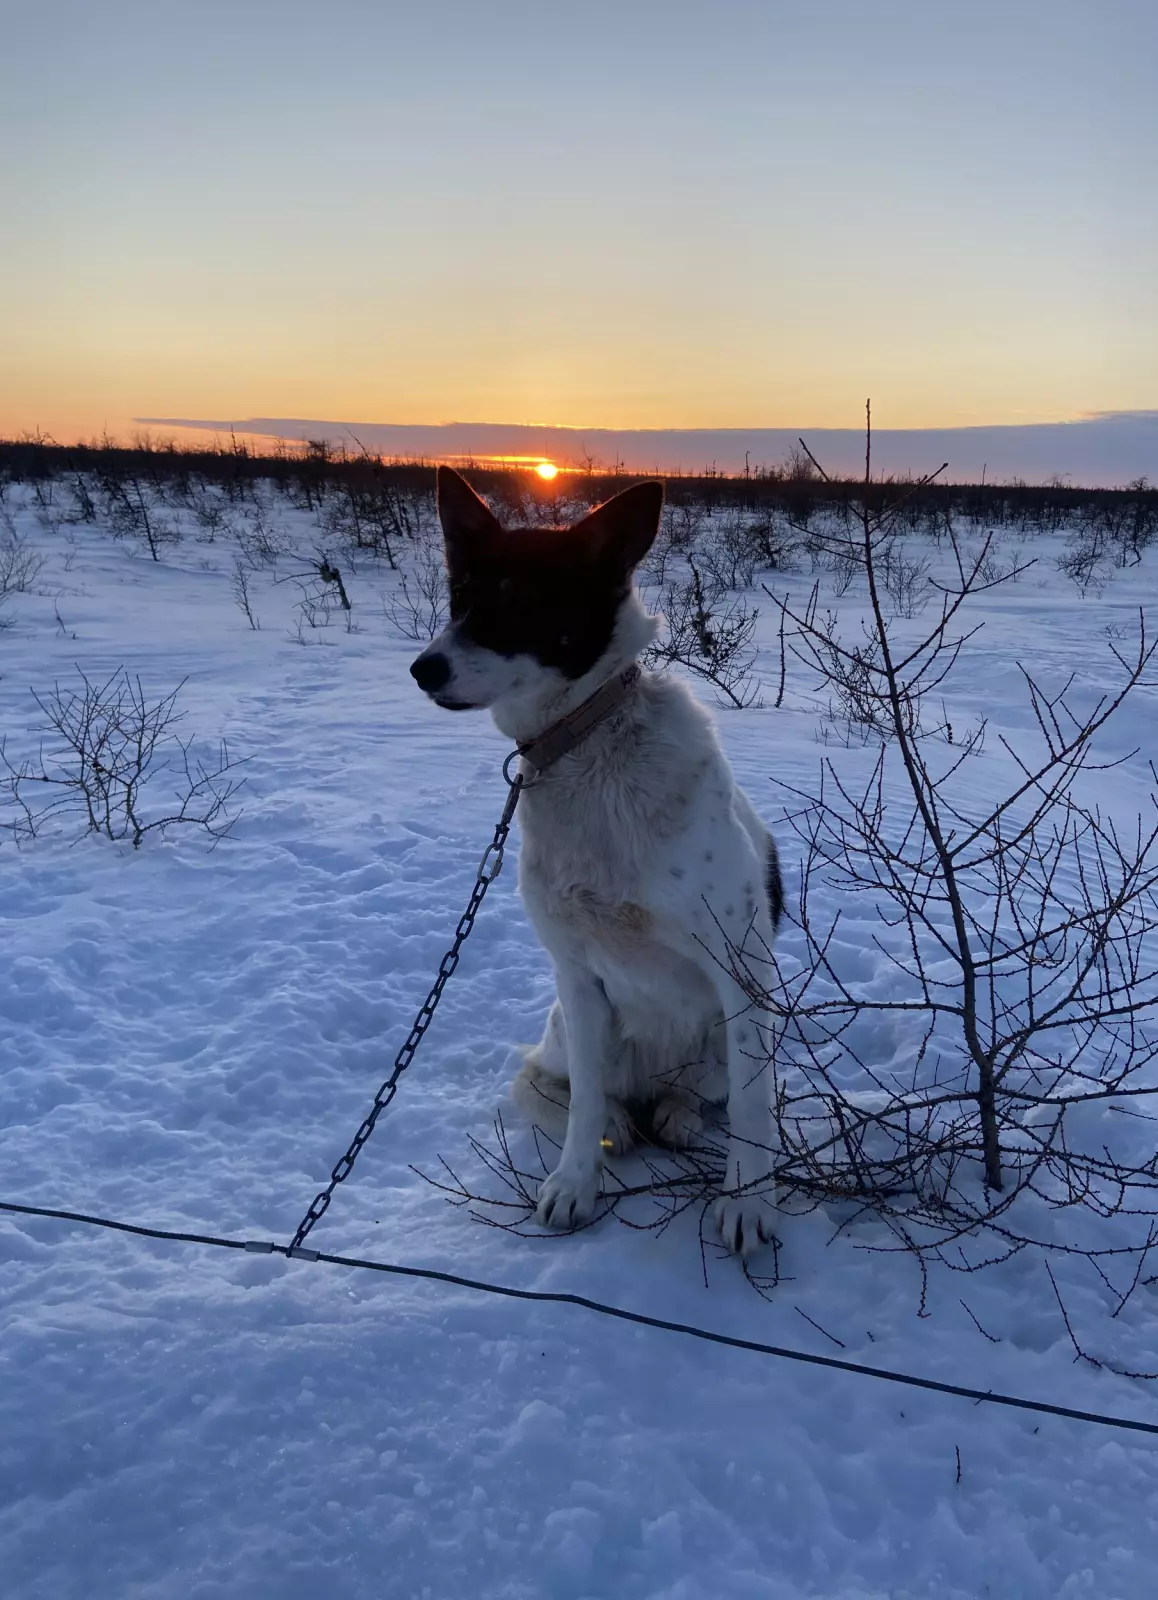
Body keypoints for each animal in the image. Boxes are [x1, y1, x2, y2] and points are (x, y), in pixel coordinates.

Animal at [410, 467, 782, 1255]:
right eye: (461, 599)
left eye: (522, 602)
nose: (423, 668)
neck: (586, 744)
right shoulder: (578, 976)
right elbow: (577, 1107)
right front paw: (576, 1184)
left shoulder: (740, 972)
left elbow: (754, 1108)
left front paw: (749, 1203)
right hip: (573, 1030)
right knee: (545, 1084)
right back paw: (618, 1120)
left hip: (721, 1038)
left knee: (702, 1093)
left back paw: (673, 1114)